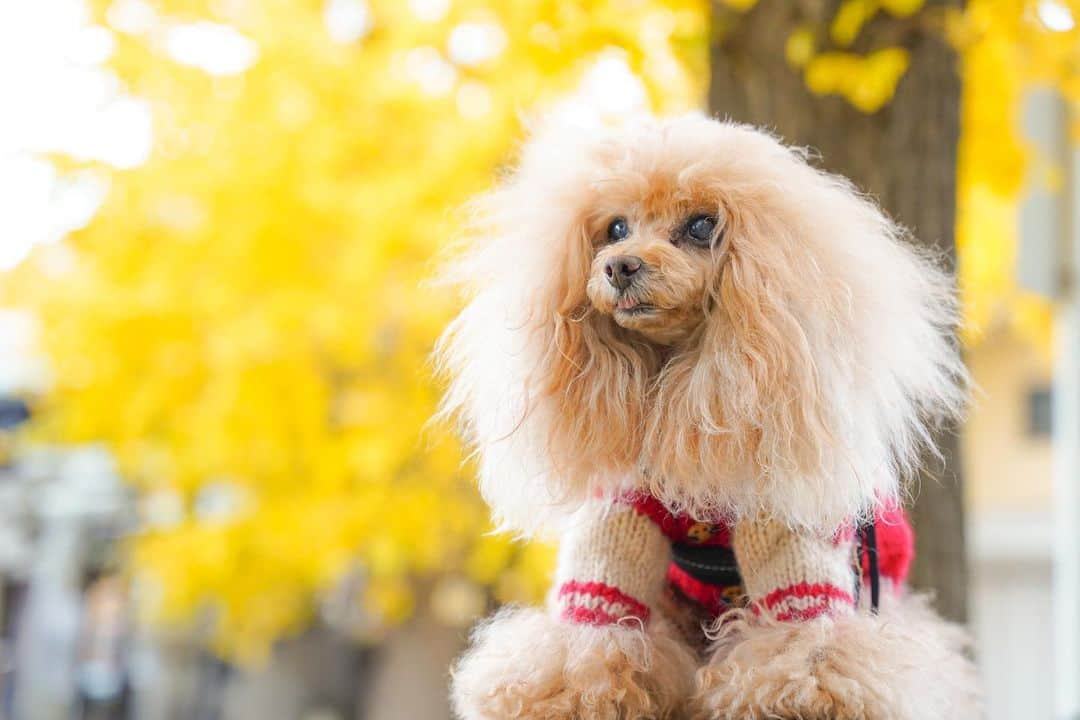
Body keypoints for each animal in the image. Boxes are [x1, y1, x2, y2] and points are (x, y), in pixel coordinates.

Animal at [434, 113, 984, 720]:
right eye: (616, 228)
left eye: (701, 226)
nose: (619, 266)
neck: (684, 386)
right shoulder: (624, 508)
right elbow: (595, 620)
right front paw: (566, 692)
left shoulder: (782, 518)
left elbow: (806, 630)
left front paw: (803, 693)